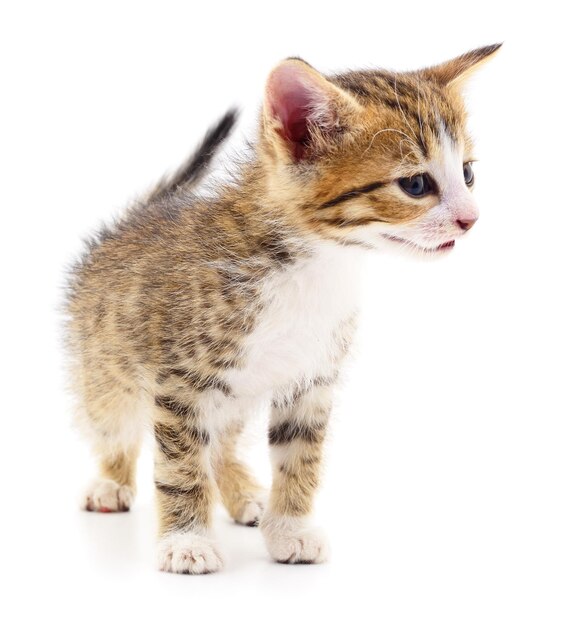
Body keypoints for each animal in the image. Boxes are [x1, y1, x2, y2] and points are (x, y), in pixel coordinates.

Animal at [66, 42, 500, 572]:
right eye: (416, 185)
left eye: (468, 174)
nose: (471, 219)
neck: (314, 265)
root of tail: (132, 219)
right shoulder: (179, 383)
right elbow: (180, 465)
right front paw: (187, 540)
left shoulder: (312, 379)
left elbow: (300, 458)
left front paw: (289, 527)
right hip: (105, 368)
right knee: (116, 427)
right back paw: (112, 481)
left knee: (219, 443)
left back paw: (242, 491)